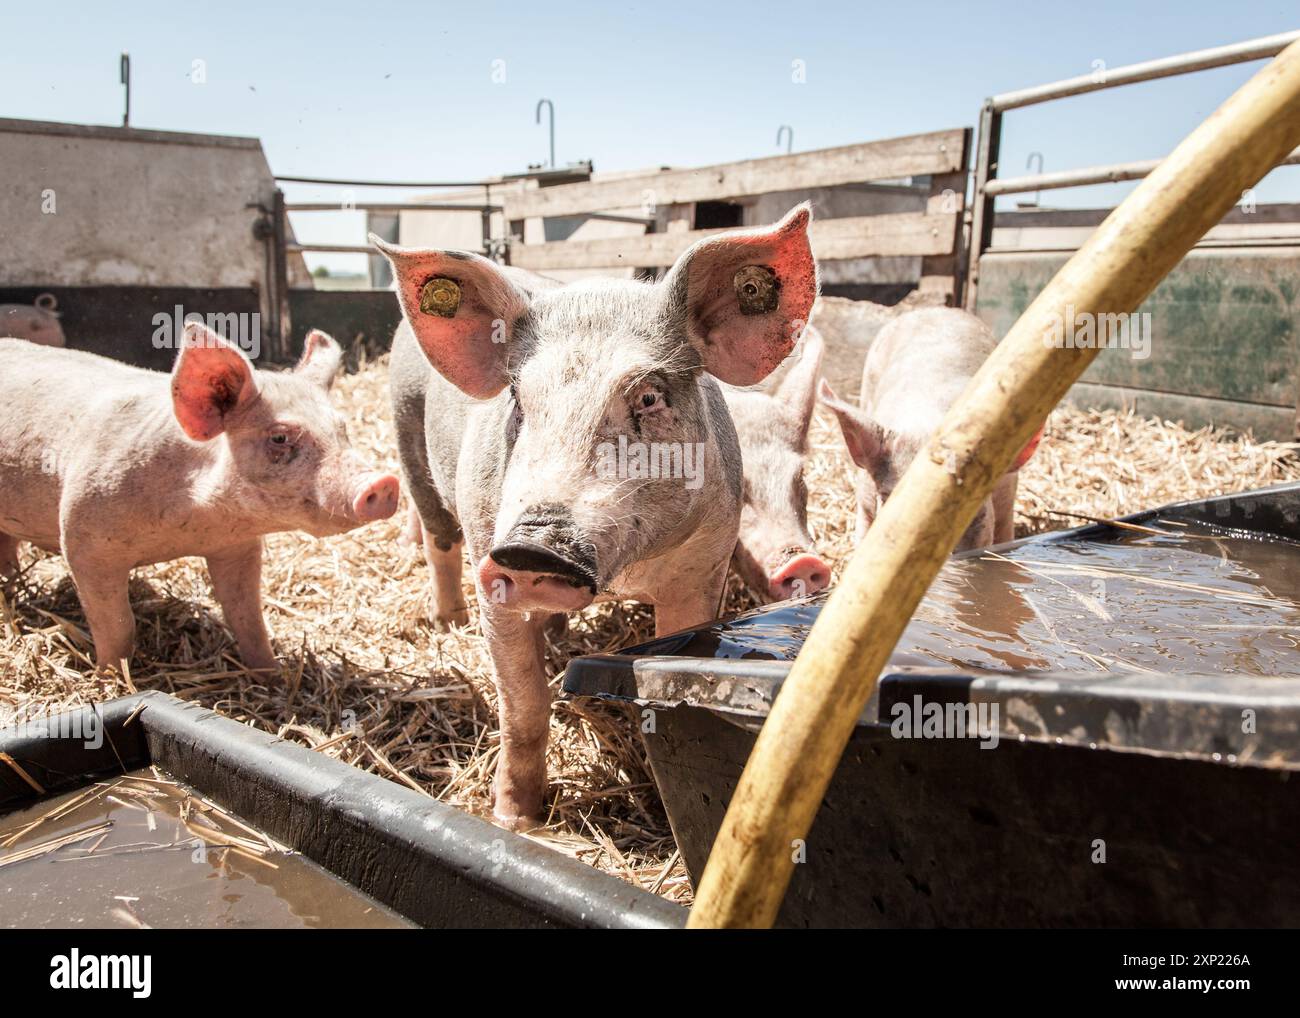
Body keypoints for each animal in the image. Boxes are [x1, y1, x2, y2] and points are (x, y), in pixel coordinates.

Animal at [0, 326, 397, 670]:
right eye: (280, 437)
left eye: (342, 429)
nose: (384, 481)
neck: (189, 526)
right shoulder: (83, 541)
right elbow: (118, 625)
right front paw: (111, 677)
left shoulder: (237, 546)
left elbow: (248, 617)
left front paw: (271, 673)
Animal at [377, 202, 816, 821]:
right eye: (517, 397)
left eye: (649, 396)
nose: (532, 543)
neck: (621, 576)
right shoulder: (493, 569)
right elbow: (523, 706)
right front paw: (516, 820)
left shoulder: (703, 569)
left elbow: (670, 679)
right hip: (407, 435)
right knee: (440, 539)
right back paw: (447, 622)